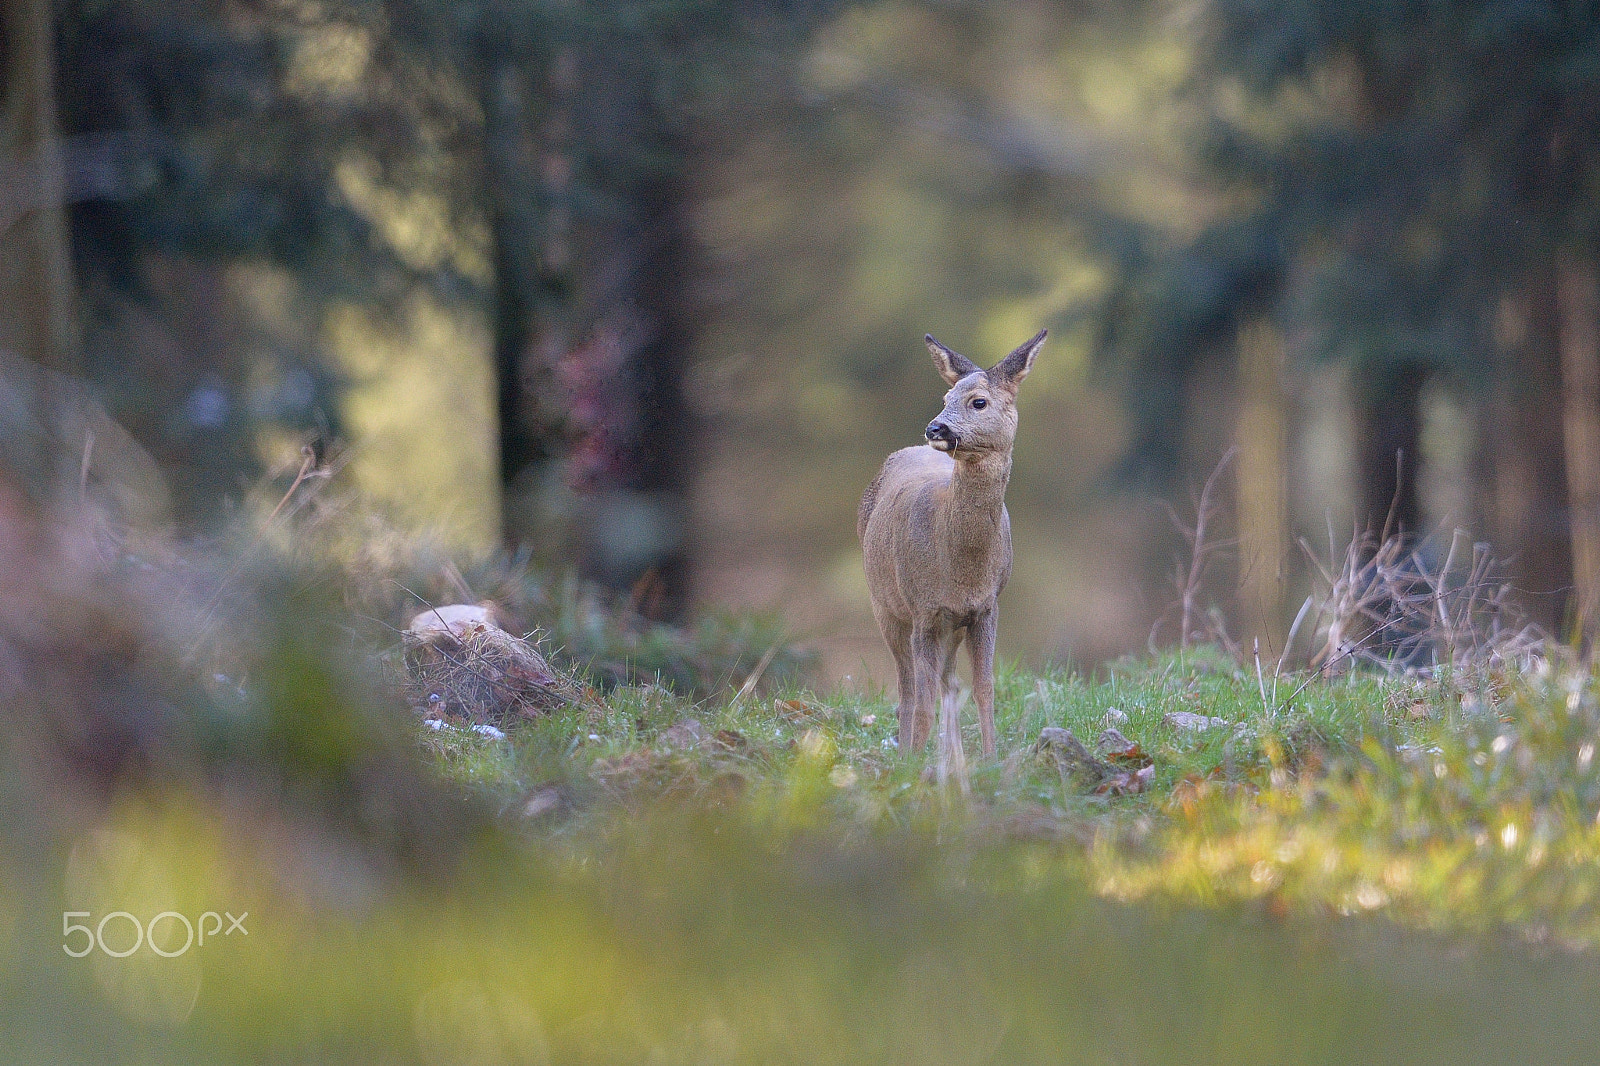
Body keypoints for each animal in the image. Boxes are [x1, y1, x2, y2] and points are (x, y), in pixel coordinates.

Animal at [857, 328, 1043, 758]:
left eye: (979, 401)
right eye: (945, 398)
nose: (935, 429)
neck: (961, 567)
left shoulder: (986, 606)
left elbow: (985, 691)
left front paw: (990, 760)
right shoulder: (923, 609)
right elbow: (922, 701)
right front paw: (912, 763)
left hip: (950, 627)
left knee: (948, 684)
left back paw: (951, 755)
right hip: (885, 606)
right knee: (908, 689)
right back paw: (910, 752)